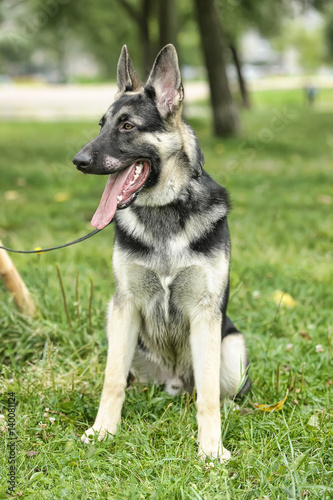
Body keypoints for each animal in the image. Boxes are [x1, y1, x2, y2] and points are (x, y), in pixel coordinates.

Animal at [73, 43, 249, 460]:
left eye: (127, 126)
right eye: (101, 124)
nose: (78, 161)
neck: (165, 209)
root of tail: (173, 383)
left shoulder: (205, 313)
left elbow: (208, 398)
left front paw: (211, 450)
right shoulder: (125, 307)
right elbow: (111, 381)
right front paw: (102, 431)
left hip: (233, 348)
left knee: (218, 391)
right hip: (115, 323)